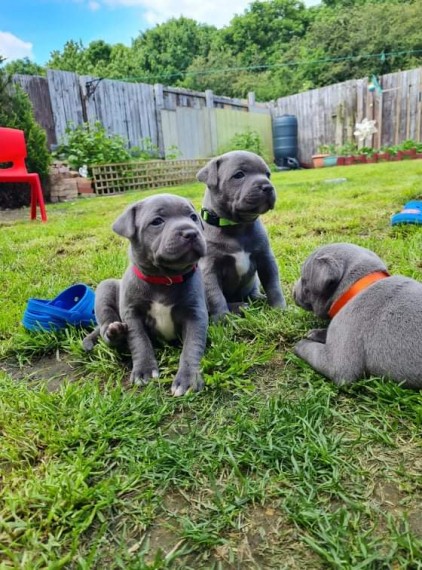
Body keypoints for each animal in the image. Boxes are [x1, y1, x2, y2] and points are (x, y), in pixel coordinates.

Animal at [83, 192, 209, 394]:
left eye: (193, 217)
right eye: (157, 221)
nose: (191, 232)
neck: (164, 279)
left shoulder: (195, 314)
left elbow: (192, 345)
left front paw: (187, 379)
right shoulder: (132, 314)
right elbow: (139, 341)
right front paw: (144, 371)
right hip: (106, 288)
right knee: (105, 327)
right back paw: (114, 332)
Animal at [196, 151, 286, 320]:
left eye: (267, 175)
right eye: (239, 175)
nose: (268, 186)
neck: (237, 226)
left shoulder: (266, 259)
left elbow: (273, 285)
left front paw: (280, 309)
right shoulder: (209, 269)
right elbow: (215, 296)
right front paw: (222, 319)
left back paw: (257, 298)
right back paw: (238, 307)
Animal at [294, 242, 422, 388]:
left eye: (303, 280)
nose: (293, 292)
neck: (355, 289)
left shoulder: (337, 365)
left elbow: (311, 350)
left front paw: (300, 344)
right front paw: (316, 333)